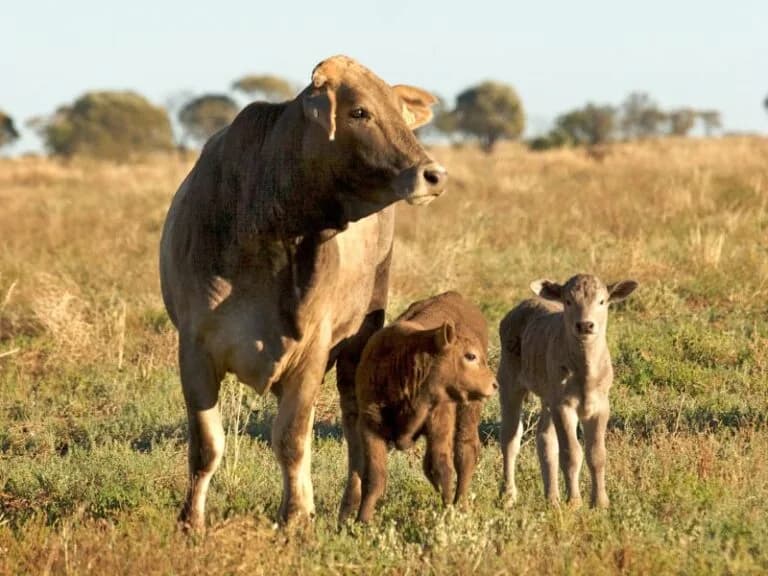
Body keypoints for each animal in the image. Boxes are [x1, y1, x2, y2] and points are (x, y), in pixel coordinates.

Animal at [159, 55, 447, 529]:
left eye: (401, 114)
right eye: (359, 112)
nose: (433, 175)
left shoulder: (311, 353)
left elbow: (291, 440)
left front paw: (293, 517)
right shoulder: (195, 351)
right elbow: (206, 445)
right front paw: (190, 520)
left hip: (359, 343)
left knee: (353, 426)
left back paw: (349, 508)